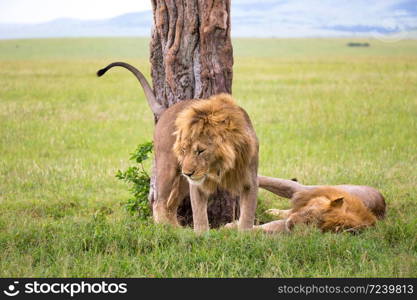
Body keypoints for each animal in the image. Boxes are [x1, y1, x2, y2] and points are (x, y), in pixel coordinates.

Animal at [98, 62, 258, 233]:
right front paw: (201, 235)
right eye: (183, 150)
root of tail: (166, 110)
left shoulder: (249, 181)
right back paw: (166, 229)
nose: (188, 172)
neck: (220, 165)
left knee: (171, 203)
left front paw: (244, 234)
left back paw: (178, 229)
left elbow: (247, 215)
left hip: (182, 180)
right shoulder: (196, 186)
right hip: (167, 167)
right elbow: (199, 214)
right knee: (159, 201)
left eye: (200, 151)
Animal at [255, 177, 386, 233]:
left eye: (313, 225)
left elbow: (268, 226)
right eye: (309, 211)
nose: (291, 224)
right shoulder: (299, 190)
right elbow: (266, 179)